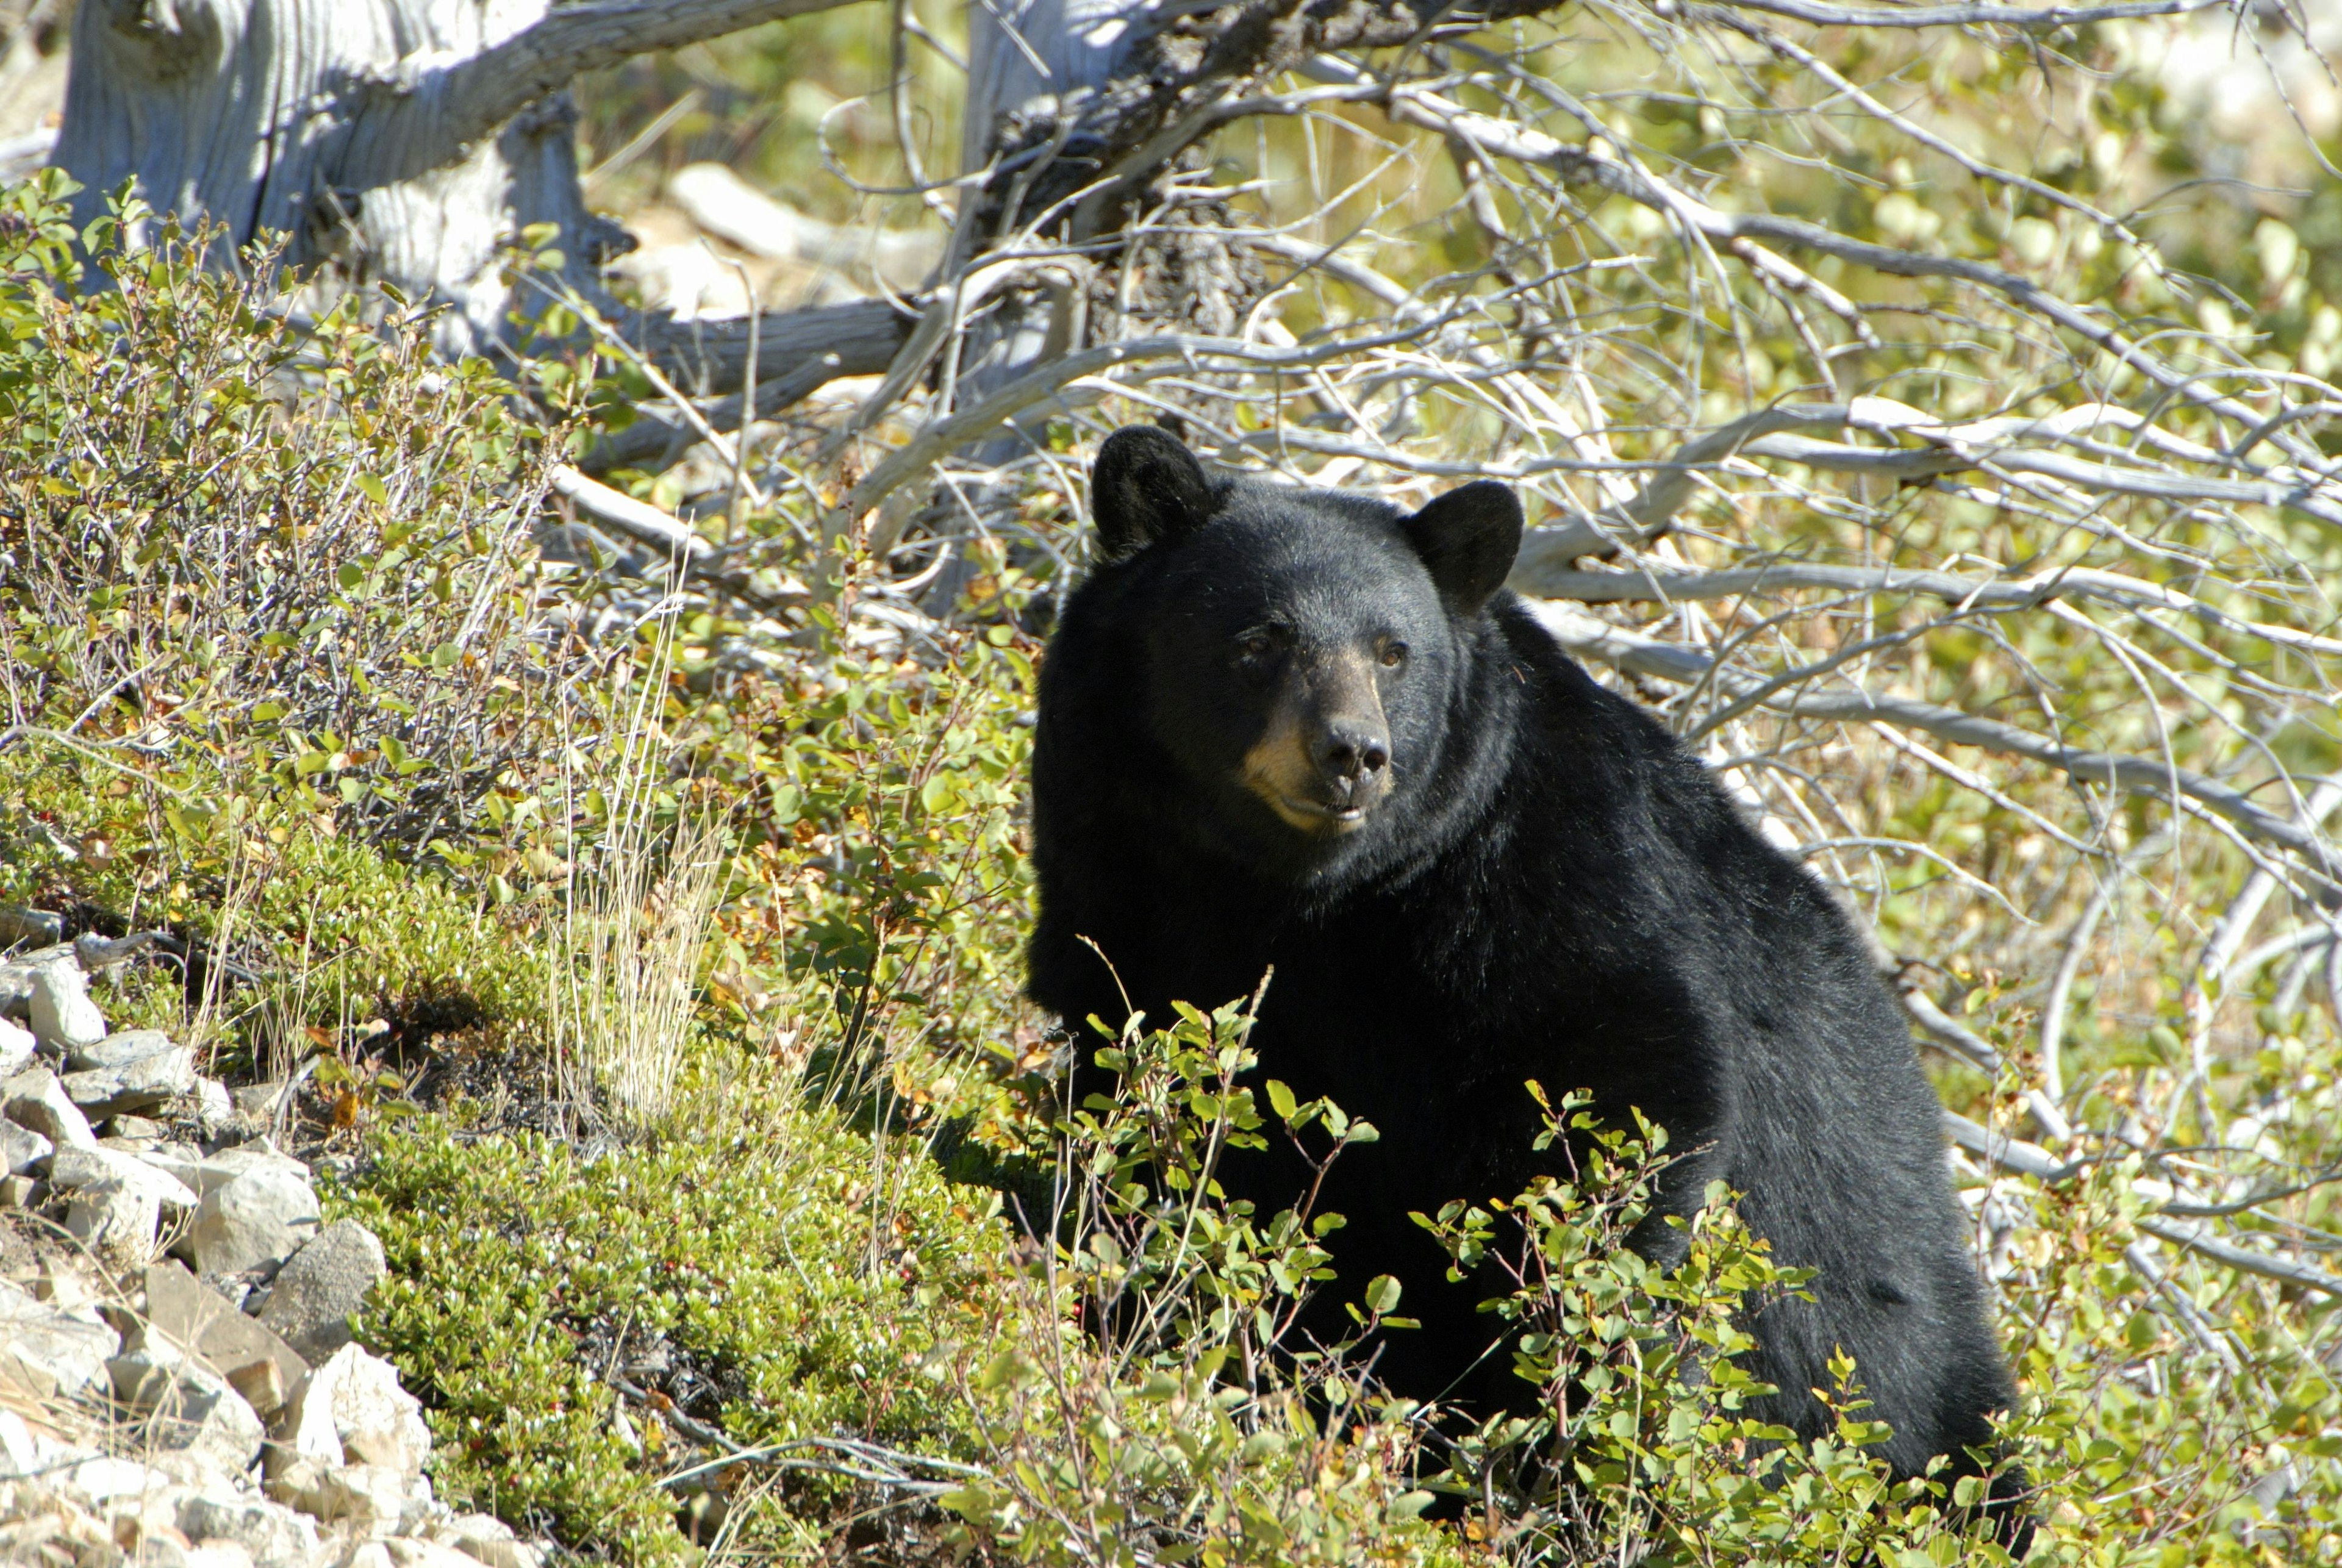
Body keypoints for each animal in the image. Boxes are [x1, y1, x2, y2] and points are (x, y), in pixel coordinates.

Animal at [1030, 423, 2033, 1525]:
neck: (1305, 895)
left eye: (1393, 649)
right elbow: (1146, 1096)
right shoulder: (1125, 876)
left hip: (1900, 1361)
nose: (1352, 754)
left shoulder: (1547, 876)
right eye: (1260, 640)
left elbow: (1617, 1102)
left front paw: (1536, 1412)